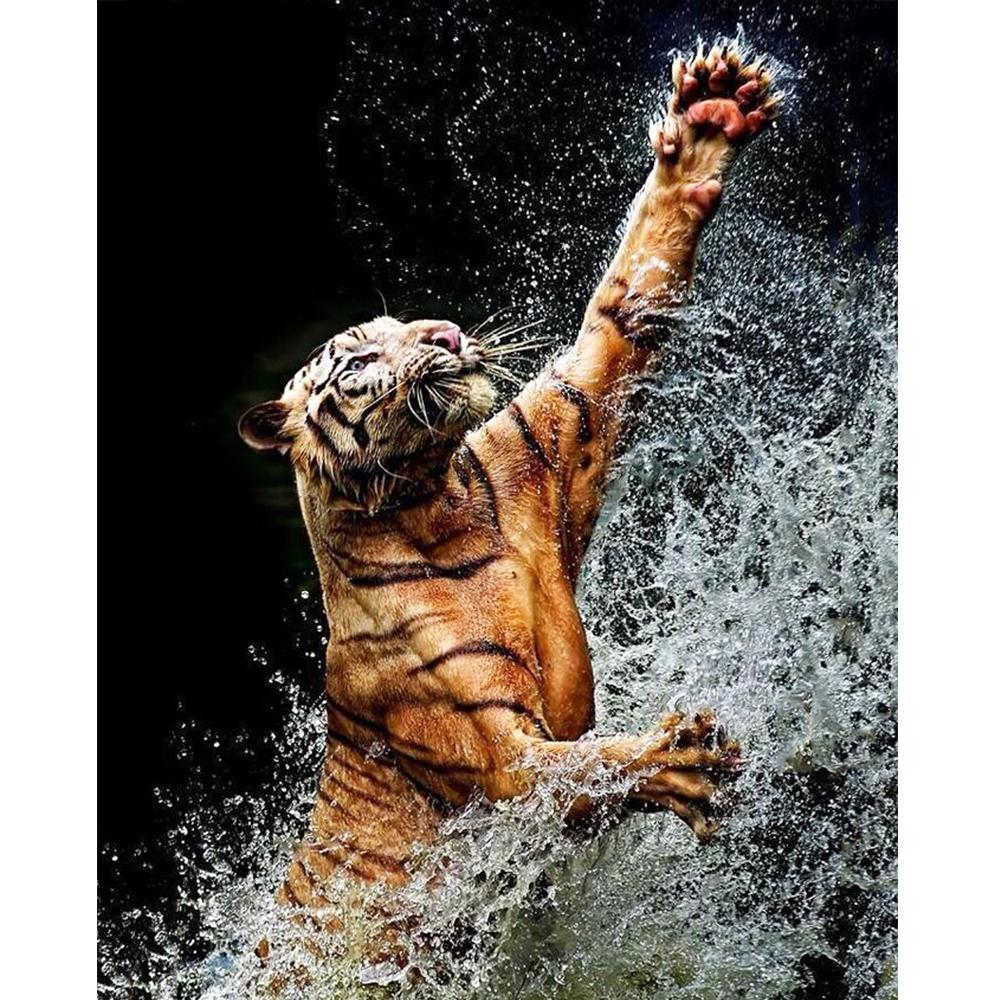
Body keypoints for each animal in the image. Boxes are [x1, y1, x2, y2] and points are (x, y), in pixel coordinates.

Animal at [240, 43, 779, 946]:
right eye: (361, 358)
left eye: (406, 325)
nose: (446, 333)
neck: (439, 502)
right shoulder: (498, 759)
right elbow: (582, 768)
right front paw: (679, 759)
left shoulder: (556, 427)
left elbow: (625, 302)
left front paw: (707, 120)